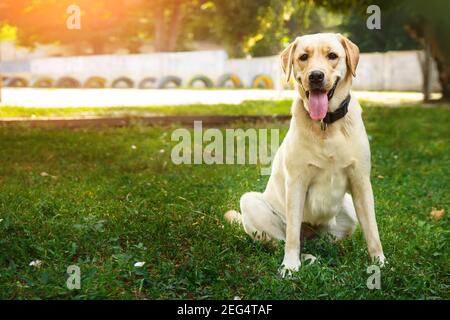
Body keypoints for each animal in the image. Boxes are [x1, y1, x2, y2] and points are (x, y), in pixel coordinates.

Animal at [227, 33, 384, 278]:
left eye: (332, 56)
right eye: (303, 57)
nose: (316, 76)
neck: (326, 124)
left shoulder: (360, 182)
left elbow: (373, 229)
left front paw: (380, 262)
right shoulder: (296, 183)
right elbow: (292, 236)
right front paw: (290, 265)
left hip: (347, 209)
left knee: (328, 242)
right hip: (251, 202)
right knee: (281, 241)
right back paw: (306, 257)